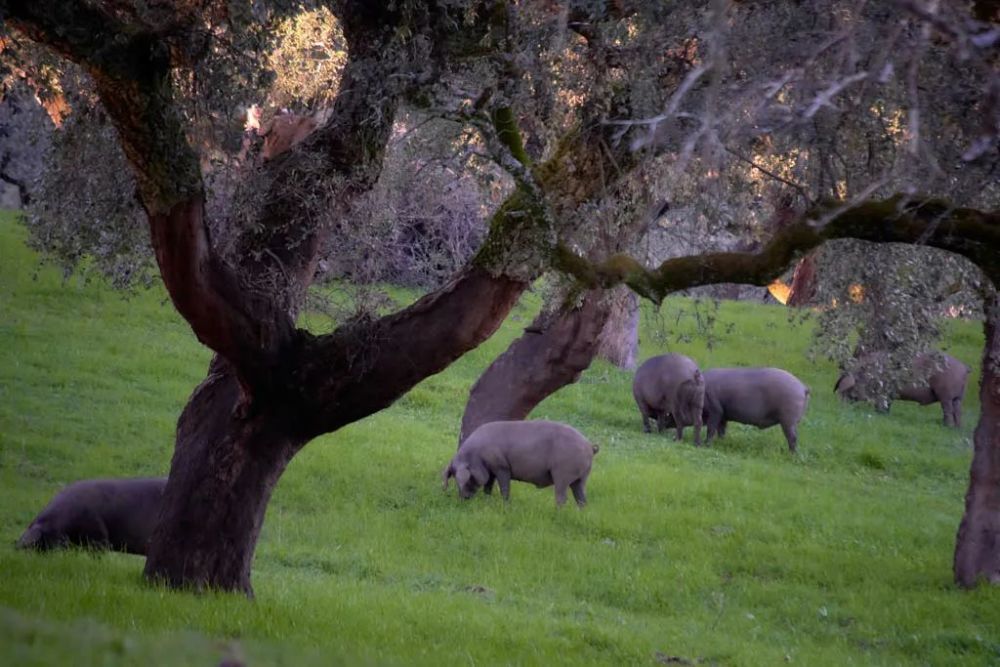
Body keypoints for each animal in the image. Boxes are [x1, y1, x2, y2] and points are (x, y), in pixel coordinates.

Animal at [444, 420, 596, 508]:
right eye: (454, 477)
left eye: (468, 478)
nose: (463, 499)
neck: (477, 454)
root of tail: (589, 445)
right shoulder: (491, 471)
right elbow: (488, 486)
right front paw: (487, 499)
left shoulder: (501, 467)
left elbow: (504, 487)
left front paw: (505, 505)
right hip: (581, 478)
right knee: (582, 499)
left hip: (562, 475)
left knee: (562, 498)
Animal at [832, 350, 972, 428]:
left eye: (847, 390)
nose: (840, 407)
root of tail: (964, 367)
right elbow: (887, 405)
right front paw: (885, 414)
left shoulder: (883, 392)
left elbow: (881, 404)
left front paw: (879, 414)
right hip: (958, 397)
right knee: (958, 411)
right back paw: (957, 428)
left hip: (946, 395)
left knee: (948, 410)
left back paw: (947, 426)